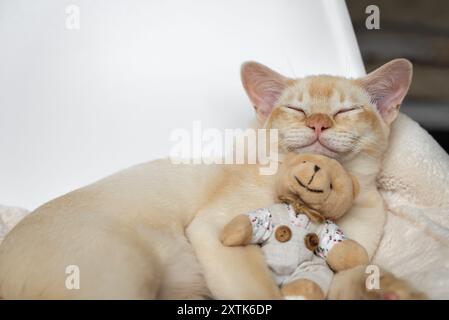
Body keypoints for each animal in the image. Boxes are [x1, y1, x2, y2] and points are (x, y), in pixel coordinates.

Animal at [0, 58, 420, 298]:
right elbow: (259, 290)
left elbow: (350, 277)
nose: (318, 122)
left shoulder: (345, 257)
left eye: (345, 111)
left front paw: (390, 290)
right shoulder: (216, 228)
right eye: (297, 110)